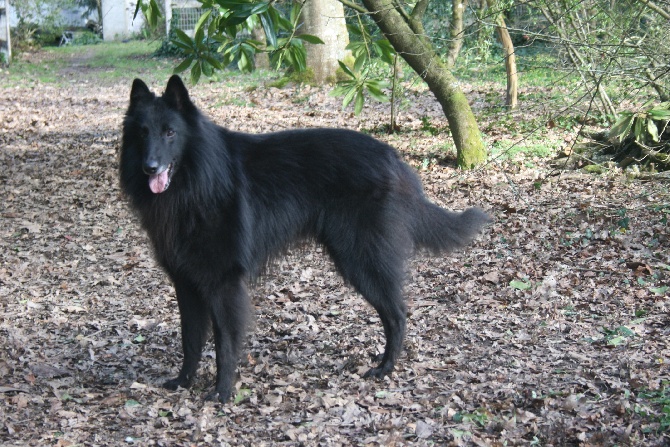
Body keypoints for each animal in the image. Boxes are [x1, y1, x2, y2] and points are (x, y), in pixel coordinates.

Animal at [119, 75, 488, 404]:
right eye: (143, 133)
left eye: (170, 132)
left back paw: (385, 368)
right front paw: (183, 381)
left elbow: (224, 342)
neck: (196, 181)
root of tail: (393, 157)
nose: (150, 167)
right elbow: (190, 339)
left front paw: (222, 392)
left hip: (360, 259)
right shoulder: (186, 283)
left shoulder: (223, 284)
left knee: (397, 314)